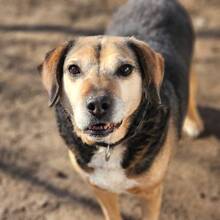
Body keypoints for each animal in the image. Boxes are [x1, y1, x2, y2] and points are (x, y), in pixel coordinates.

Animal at [38, 0, 204, 220]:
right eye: (73, 69)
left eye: (125, 69)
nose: (97, 105)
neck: (109, 146)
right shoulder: (100, 189)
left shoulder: (151, 194)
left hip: (190, 62)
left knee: (192, 86)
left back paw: (193, 122)